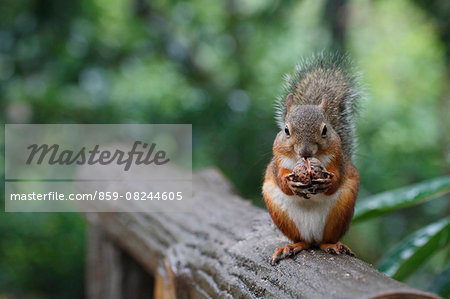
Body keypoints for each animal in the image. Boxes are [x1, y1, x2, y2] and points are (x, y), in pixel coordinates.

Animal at [264, 53, 362, 264]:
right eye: (286, 130)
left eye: (325, 129)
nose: (305, 153)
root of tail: (313, 236)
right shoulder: (278, 163)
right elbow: (281, 180)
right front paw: (291, 184)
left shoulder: (338, 160)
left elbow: (337, 178)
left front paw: (328, 182)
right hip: (282, 215)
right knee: (303, 241)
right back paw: (291, 246)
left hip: (340, 213)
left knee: (325, 240)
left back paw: (334, 245)